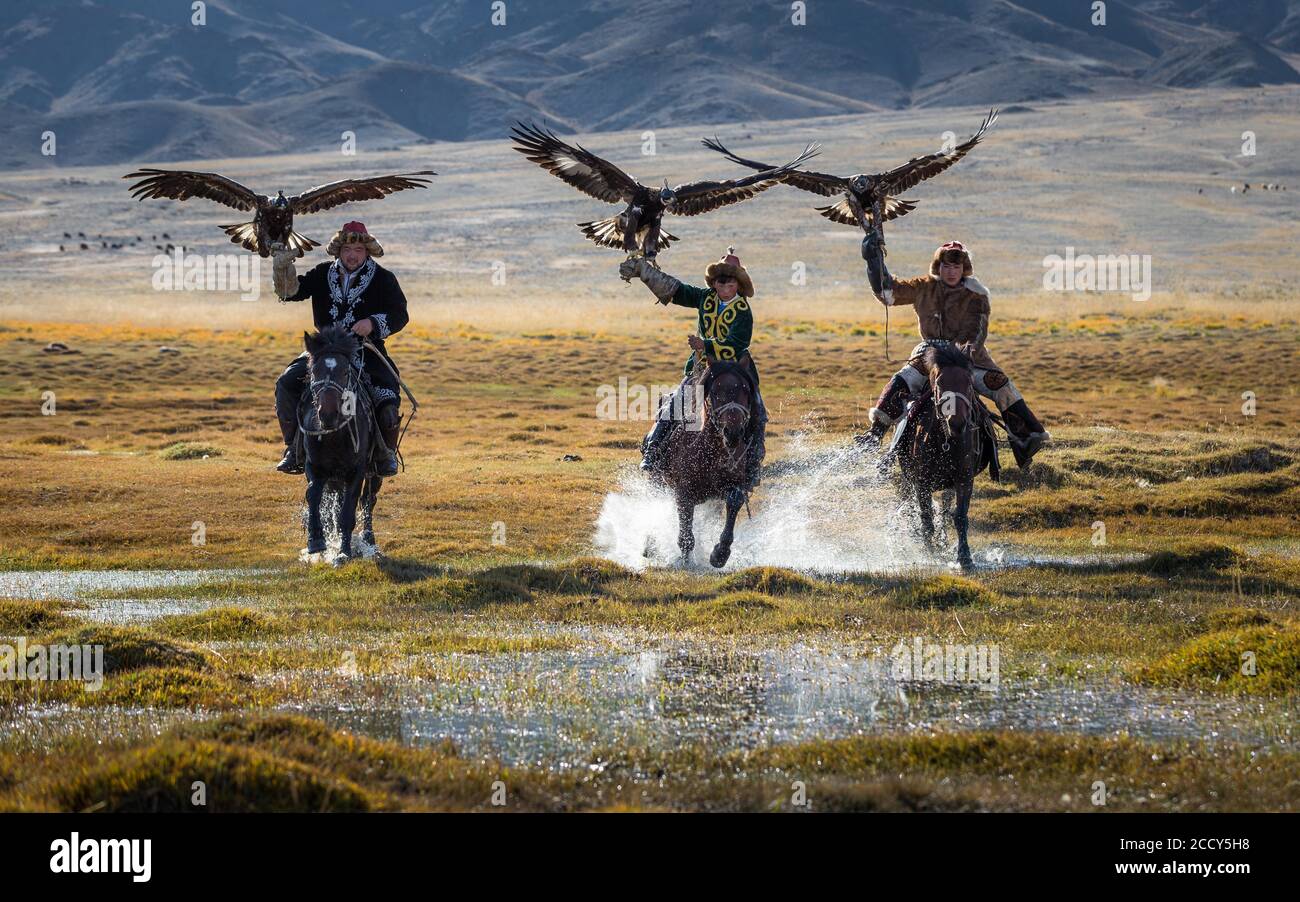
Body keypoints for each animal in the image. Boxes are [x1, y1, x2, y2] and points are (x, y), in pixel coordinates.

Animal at [299, 324, 384, 566]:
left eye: (345, 372)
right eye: (314, 372)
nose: (328, 415)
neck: (335, 435)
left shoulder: (357, 471)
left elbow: (348, 511)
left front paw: (343, 552)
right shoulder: (315, 467)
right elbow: (313, 497)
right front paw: (316, 542)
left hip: (374, 473)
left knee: (368, 500)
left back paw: (368, 539)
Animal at [650, 358, 759, 566]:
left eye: (745, 390)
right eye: (715, 391)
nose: (733, 433)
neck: (711, 450)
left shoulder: (735, 486)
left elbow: (734, 501)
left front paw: (720, 554)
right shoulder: (683, 491)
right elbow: (686, 534)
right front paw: (686, 561)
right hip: (658, 482)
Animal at [889, 340, 998, 571]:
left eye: (969, 383)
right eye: (939, 383)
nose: (956, 424)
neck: (946, 440)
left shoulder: (964, 479)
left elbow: (960, 516)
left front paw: (964, 557)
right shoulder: (922, 481)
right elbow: (926, 517)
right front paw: (929, 552)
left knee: (946, 510)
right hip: (909, 476)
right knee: (915, 507)